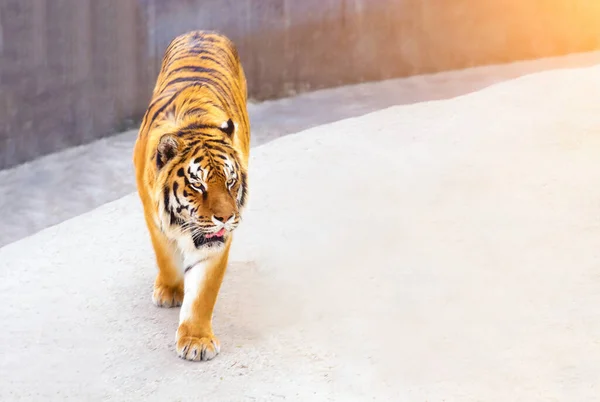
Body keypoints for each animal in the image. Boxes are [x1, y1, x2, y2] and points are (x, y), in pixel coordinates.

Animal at [132, 30, 250, 362]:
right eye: (198, 185)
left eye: (231, 181)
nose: (226, 218)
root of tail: (203, 31)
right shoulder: (153, 217)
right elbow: (166, 257)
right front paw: (170, 292)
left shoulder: (215, 242)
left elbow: (202, 292)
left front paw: (196, 340)